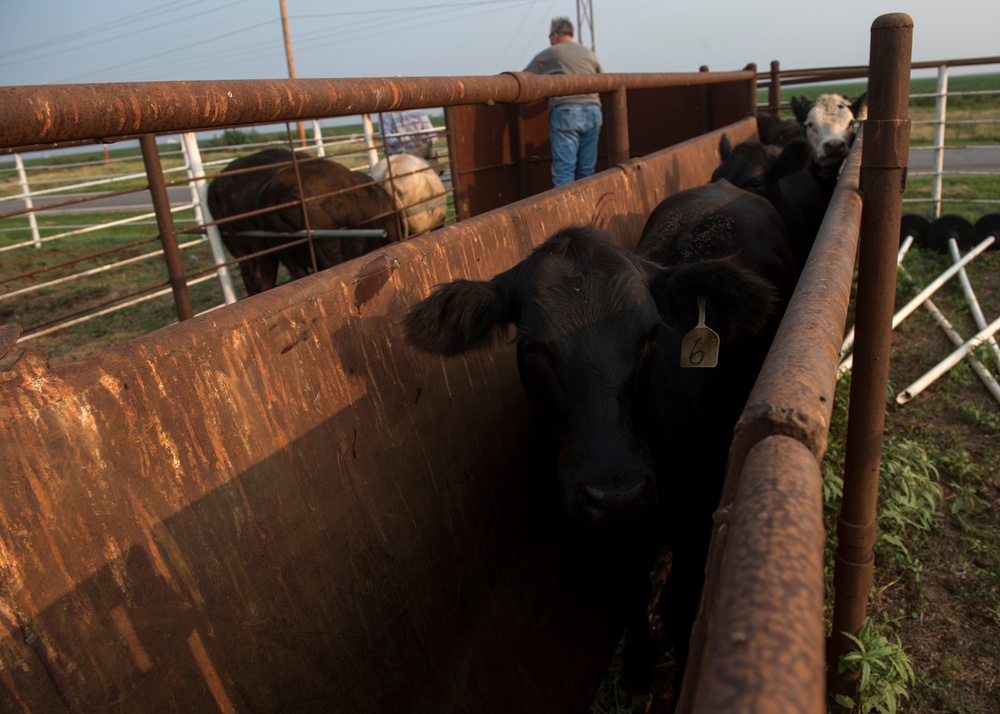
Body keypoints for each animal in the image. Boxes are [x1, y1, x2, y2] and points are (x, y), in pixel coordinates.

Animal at [404, 181, 796, 704]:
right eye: (531, 345)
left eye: (651, 333)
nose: (617, 492)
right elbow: (628, 593)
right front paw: (637, 672)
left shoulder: (699, 511)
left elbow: (677, 604)